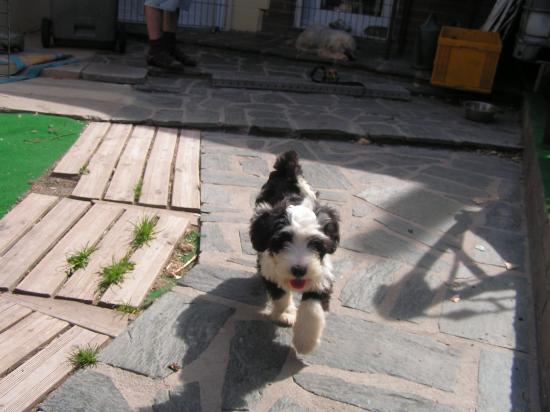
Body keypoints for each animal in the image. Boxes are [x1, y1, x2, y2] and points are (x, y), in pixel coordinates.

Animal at [251, 151, 340, 354]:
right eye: (283, 241)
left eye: (315, 244)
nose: (299, 270)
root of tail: (287, 170)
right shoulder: (269, 267)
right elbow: (280, 294)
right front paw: (286, 313)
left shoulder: (322, 273)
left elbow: (313, 307)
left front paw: (305, 341)